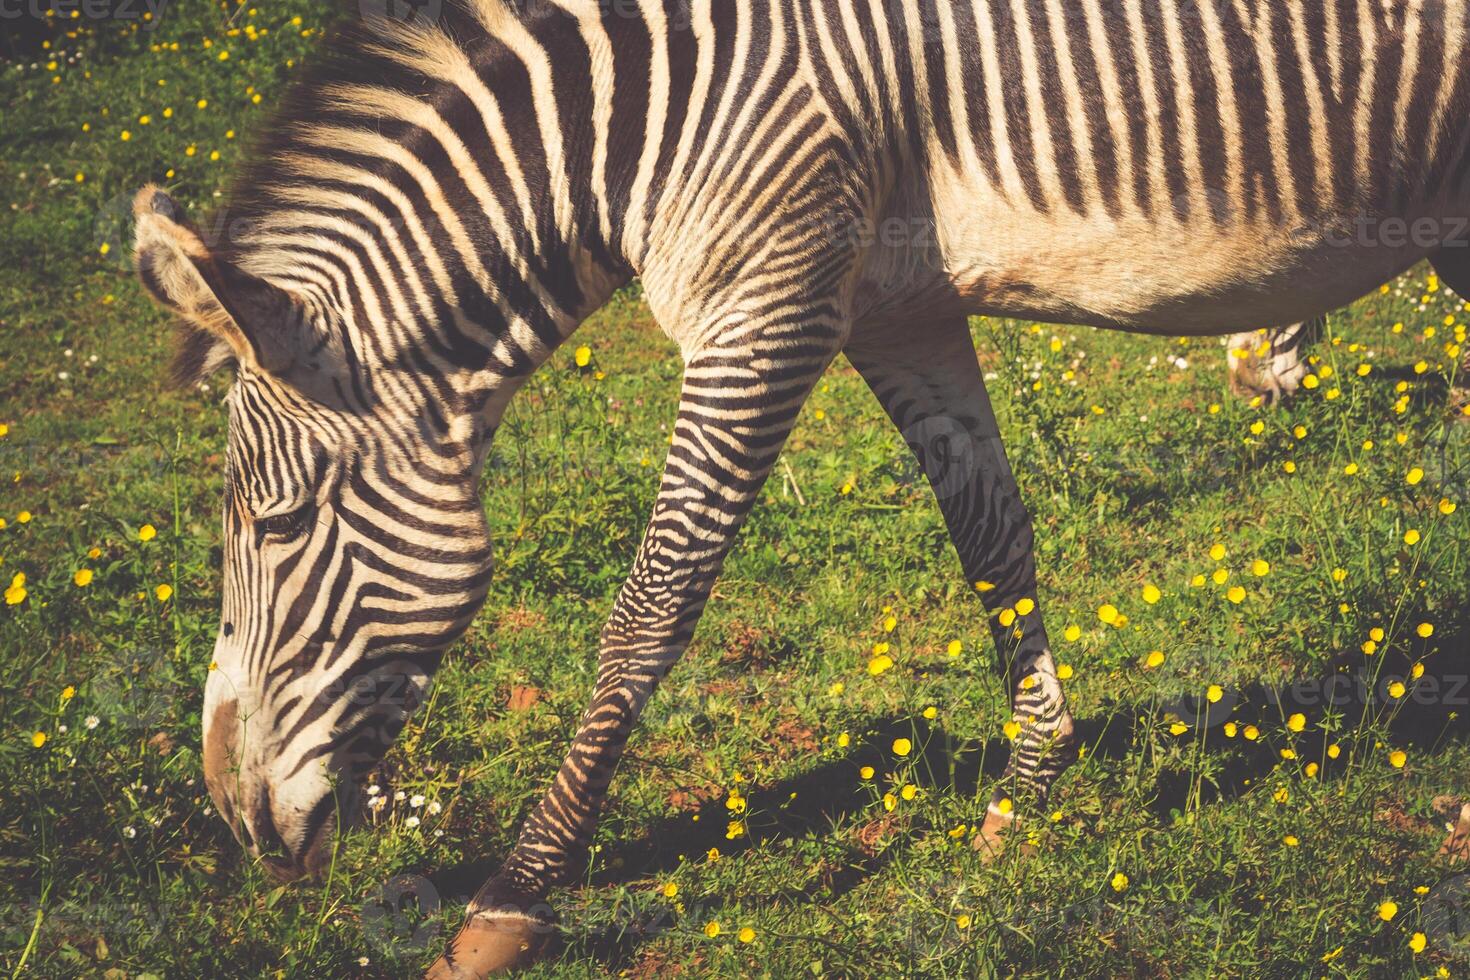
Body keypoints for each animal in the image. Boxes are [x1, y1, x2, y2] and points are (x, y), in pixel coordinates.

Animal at [129, 0, 1470, 975]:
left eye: (279, 521)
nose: (235, 819)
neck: (647, 128)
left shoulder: (762, 315)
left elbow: (652, 606)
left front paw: (516, 894)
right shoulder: (895, 304)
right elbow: (992, 532)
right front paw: (1031, 784)